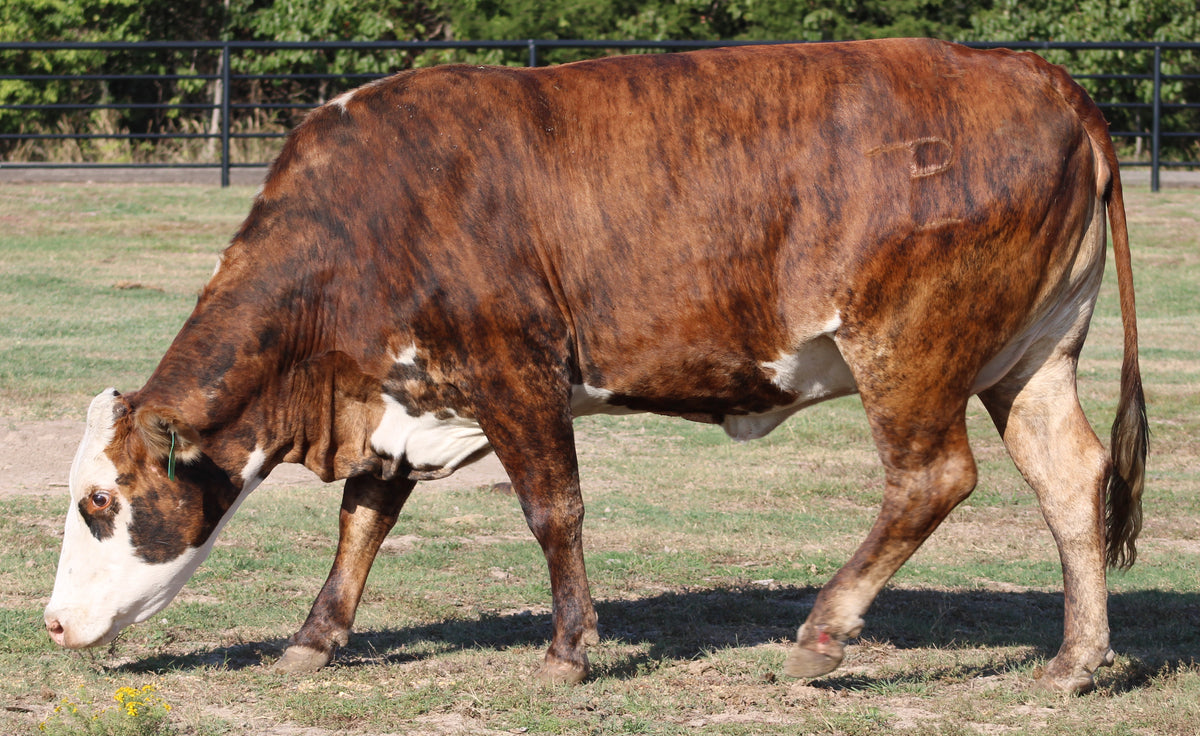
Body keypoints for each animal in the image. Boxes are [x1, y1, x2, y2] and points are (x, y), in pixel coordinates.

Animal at [44, 38, 1142, 696]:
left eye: (99, 501)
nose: (52, 623)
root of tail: (1042, 78)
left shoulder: (516, 372)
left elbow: (553, 510)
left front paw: (569, 647)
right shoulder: (402, 397)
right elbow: (362, 517)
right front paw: (315, 636)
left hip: (909, 346)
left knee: (931, 477)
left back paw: (825, 631)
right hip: (1031, 353)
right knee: (1069, 475)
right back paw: (1076, 659)